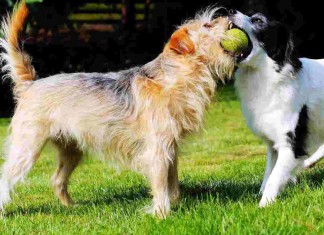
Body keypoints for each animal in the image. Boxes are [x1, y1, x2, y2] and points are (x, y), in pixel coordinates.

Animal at [0, 0, 233, 218]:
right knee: (6, 178)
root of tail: (31, 84)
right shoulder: (157, 150)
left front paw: (175, 204)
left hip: (71, 151)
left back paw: (71, 207)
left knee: (57, 179)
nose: (230, 15)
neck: (172, 78)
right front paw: (162, 214)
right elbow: (160, 185)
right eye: (207, 25)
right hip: (27, 148)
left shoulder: (171, 148)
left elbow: (173, 181)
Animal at [228, 10, 324, 207]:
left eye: (258, 20)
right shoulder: (273, 144)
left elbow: (274, 177)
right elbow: (268, 173)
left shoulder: (290, 142)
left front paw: (264, 205)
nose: (230, 11)